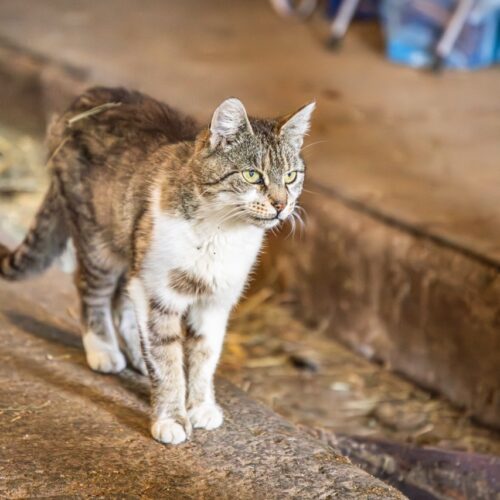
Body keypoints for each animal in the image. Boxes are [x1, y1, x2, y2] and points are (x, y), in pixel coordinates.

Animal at [0, 87, 312, 446]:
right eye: (252, 175)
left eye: (291, 176)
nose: (281, 204)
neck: (220, 235)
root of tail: (86, 96)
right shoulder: (156, 293)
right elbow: (167, 360)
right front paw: (171, 419)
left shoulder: (214, 302)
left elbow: (205, 356)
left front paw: (201, 406)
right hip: (100, 243)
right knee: (92, 290)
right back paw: (103, 350)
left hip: (132, 250)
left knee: (121, 305)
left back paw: (136, 355)